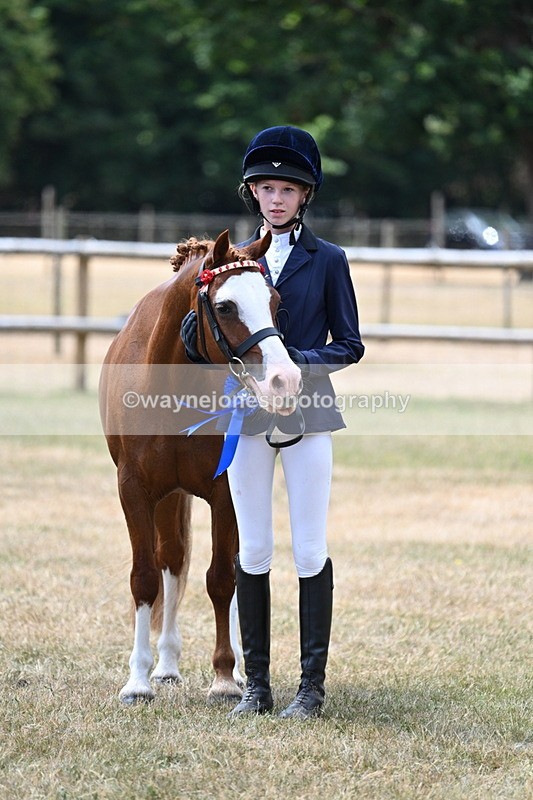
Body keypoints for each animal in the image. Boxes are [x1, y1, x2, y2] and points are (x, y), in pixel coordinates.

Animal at [99, 229, 302, 704]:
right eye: (225, 306)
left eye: (275, 301)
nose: (285, 381)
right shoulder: (134, 489)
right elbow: (145, 577)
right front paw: (137, 680)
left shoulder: (224, 493)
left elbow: (222, 580)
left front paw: (225, 676)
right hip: (169, 495)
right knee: (171, 561)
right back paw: (166, 665)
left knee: (235, 567)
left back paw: (240, 671)